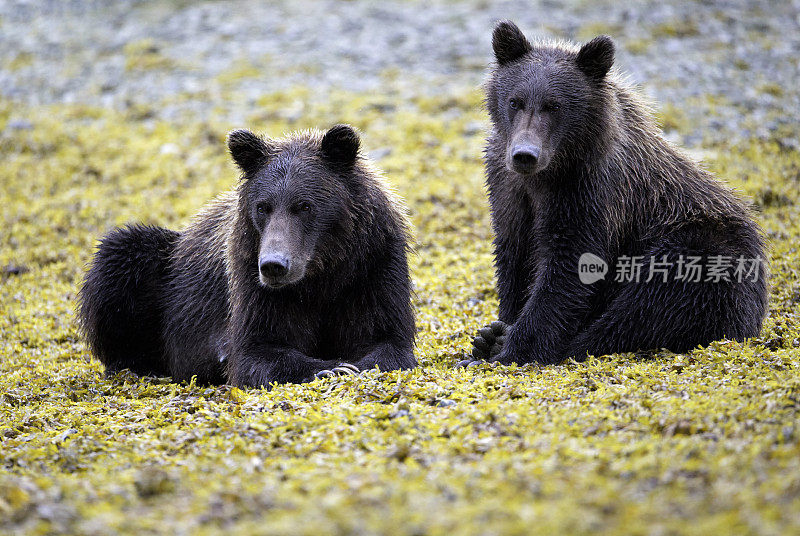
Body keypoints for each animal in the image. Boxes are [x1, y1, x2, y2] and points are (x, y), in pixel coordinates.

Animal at [79, 124, 418, 386]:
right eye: (263, 206)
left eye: (304, 205)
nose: (274, 265)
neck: (322, 275)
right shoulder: (251, 280)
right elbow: (257, 350)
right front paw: (331, 367)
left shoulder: (371, 268)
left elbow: (387, 340)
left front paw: (356, 363)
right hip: (165, 274)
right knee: (120, 255)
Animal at [468, 19, 768, 364]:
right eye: (515, 101)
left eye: (554, 105)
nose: (524, 155)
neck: (551, 172)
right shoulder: (508, 188)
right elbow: (513, 255)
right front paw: (498, 328)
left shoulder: (591, 193)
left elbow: (568, 269)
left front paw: (513, 347)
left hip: (703, 251)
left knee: (646, 305)